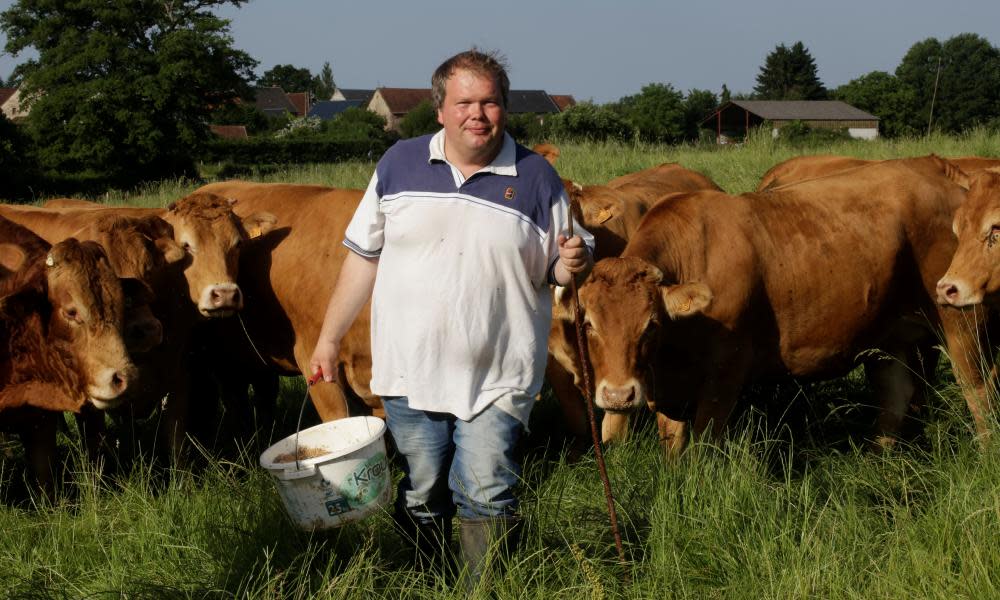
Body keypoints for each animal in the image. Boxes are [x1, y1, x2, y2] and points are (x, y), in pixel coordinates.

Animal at [580, 156, 992, 454]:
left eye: (650, 325)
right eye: (588, 325)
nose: (618, 396)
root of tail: (939, 170)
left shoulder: (725, 374)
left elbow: (703, 445)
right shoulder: (669, 387)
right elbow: (672, 445)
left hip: (961, 323)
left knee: (979, 393)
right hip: (888, 338)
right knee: (895, 396)